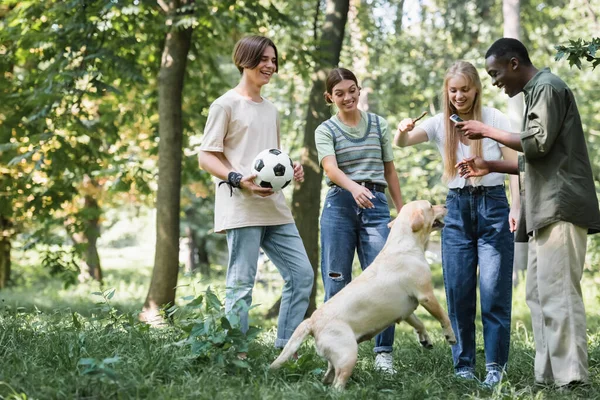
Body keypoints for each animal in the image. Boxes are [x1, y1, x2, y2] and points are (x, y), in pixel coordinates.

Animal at [270, 202, 454, 390]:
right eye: (430, 206)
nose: (445, 205)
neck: (404, 243)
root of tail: (312, 321)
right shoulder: (426, 295)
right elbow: (444, 316)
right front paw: (450, 335)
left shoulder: (406, 310)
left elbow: (419, 323)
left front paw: (425, 339)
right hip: (349, 354)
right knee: (337, 384)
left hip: (337, 357)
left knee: (328, 376)